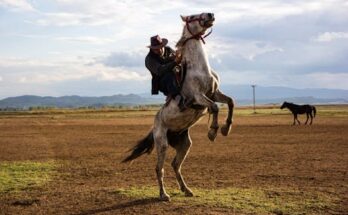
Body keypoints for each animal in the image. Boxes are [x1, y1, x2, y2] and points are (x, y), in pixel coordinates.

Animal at [123, 13, 235, 202]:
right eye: (192, 16)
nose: (211, 15)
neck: (200, 69)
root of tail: (155, 125)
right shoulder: (199, 97)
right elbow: (214, 108)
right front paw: (212, 132)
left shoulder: (215, 93)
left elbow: (230, 102)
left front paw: (226, 129)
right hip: (162, 144)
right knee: (159, 168)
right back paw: (164, 195)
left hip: (184, 144)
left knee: (175, 165)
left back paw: (187, 189)